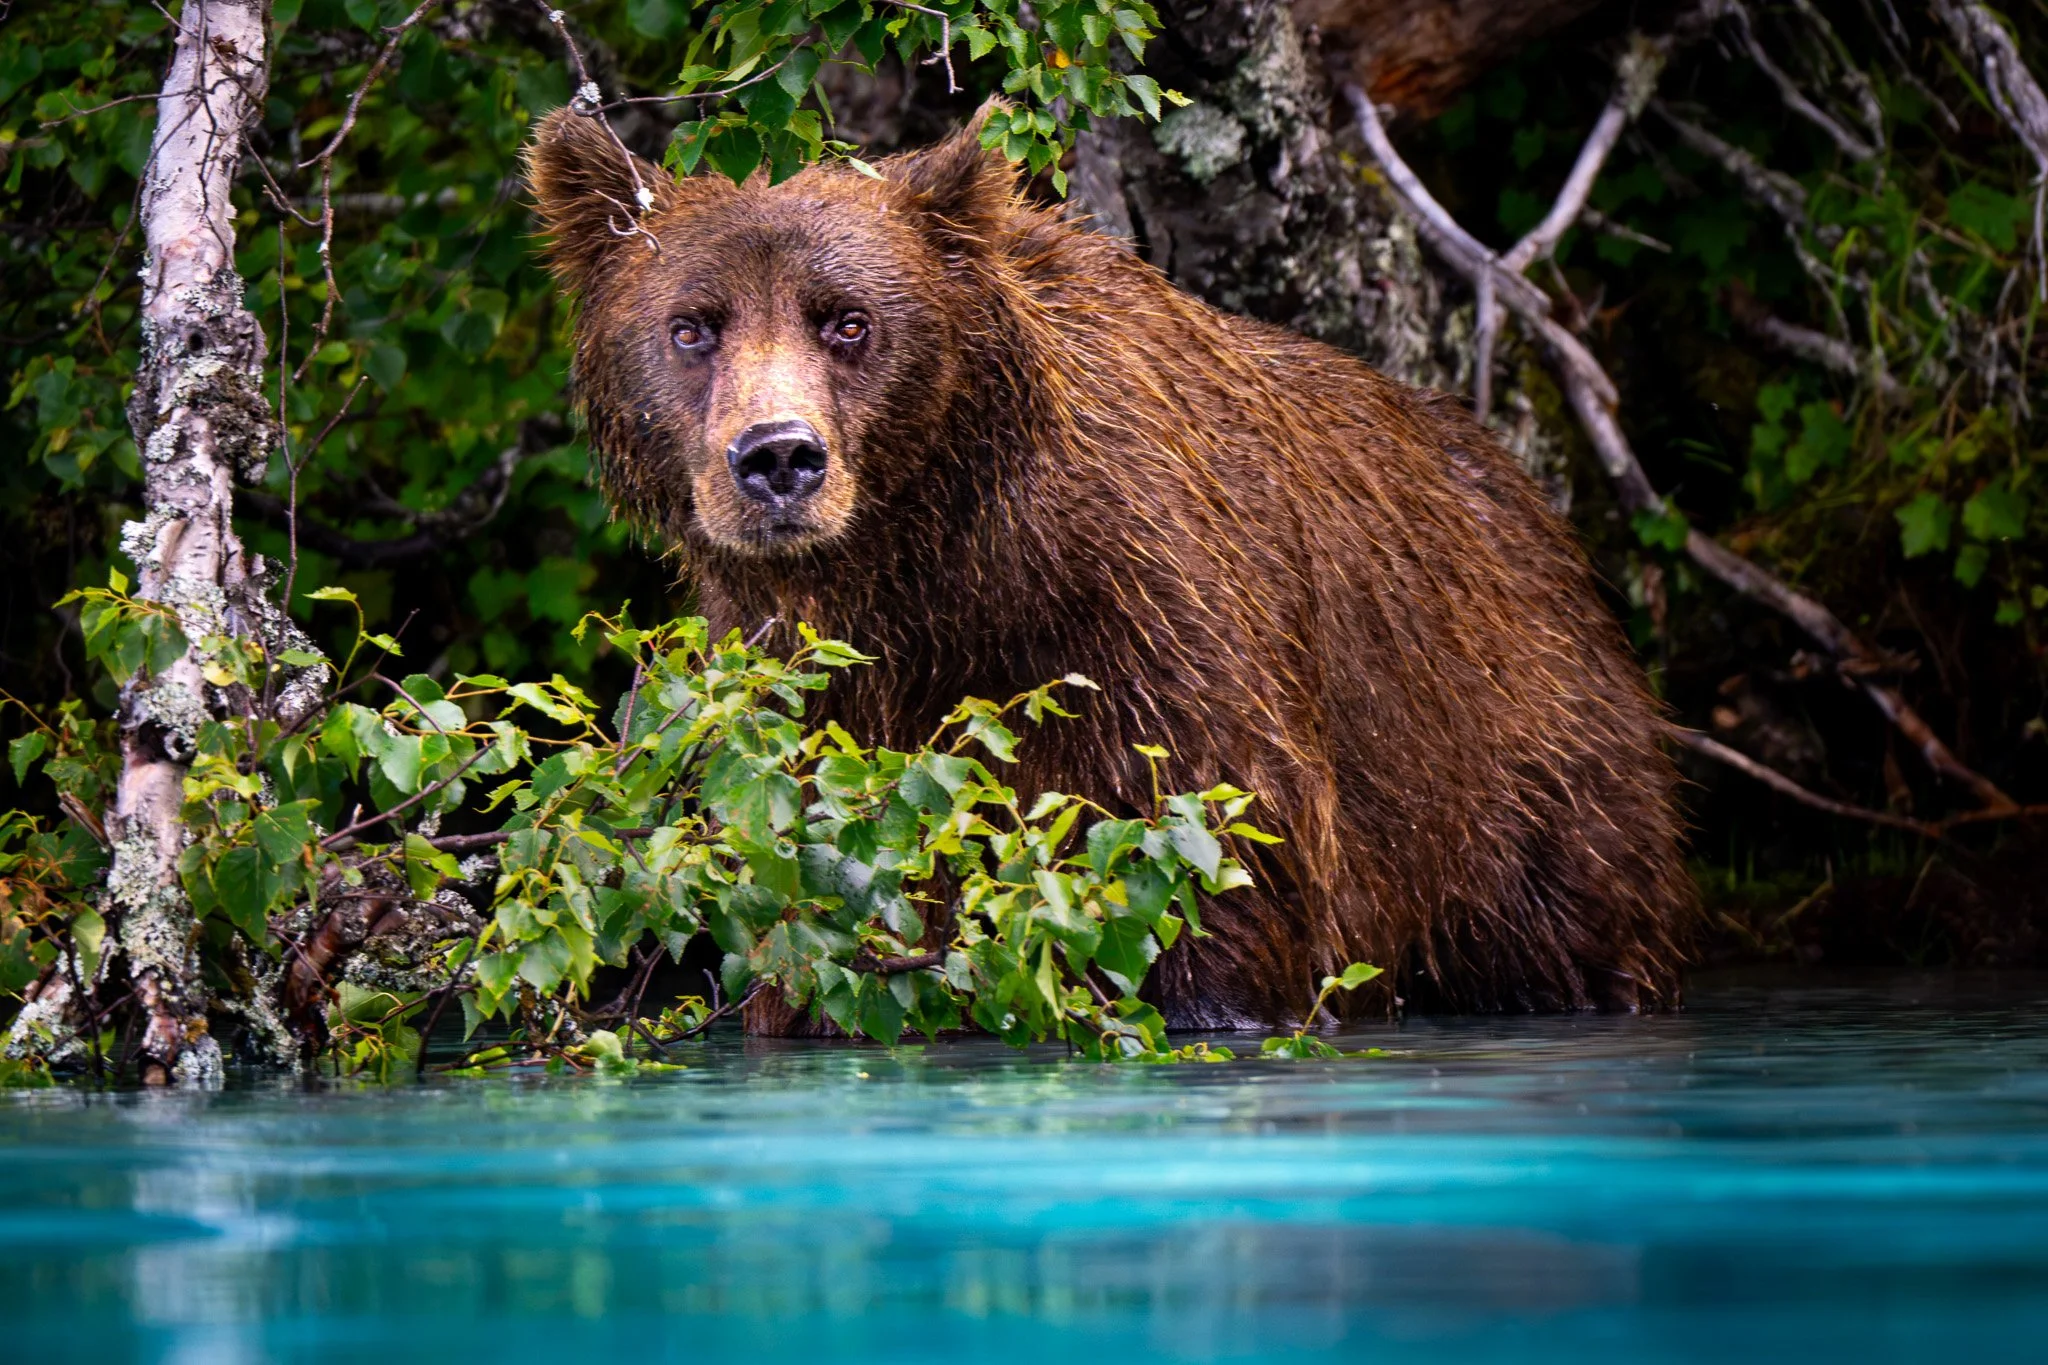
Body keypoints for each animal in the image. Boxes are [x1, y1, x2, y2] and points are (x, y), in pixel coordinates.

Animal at [525, 103, 1696, 1026]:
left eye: (848, 321)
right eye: (692, 326)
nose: (778, 458)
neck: (929, 559)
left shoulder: (1144, 607)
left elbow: (1216, 856)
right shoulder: (806, 695)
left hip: (1514, 764)